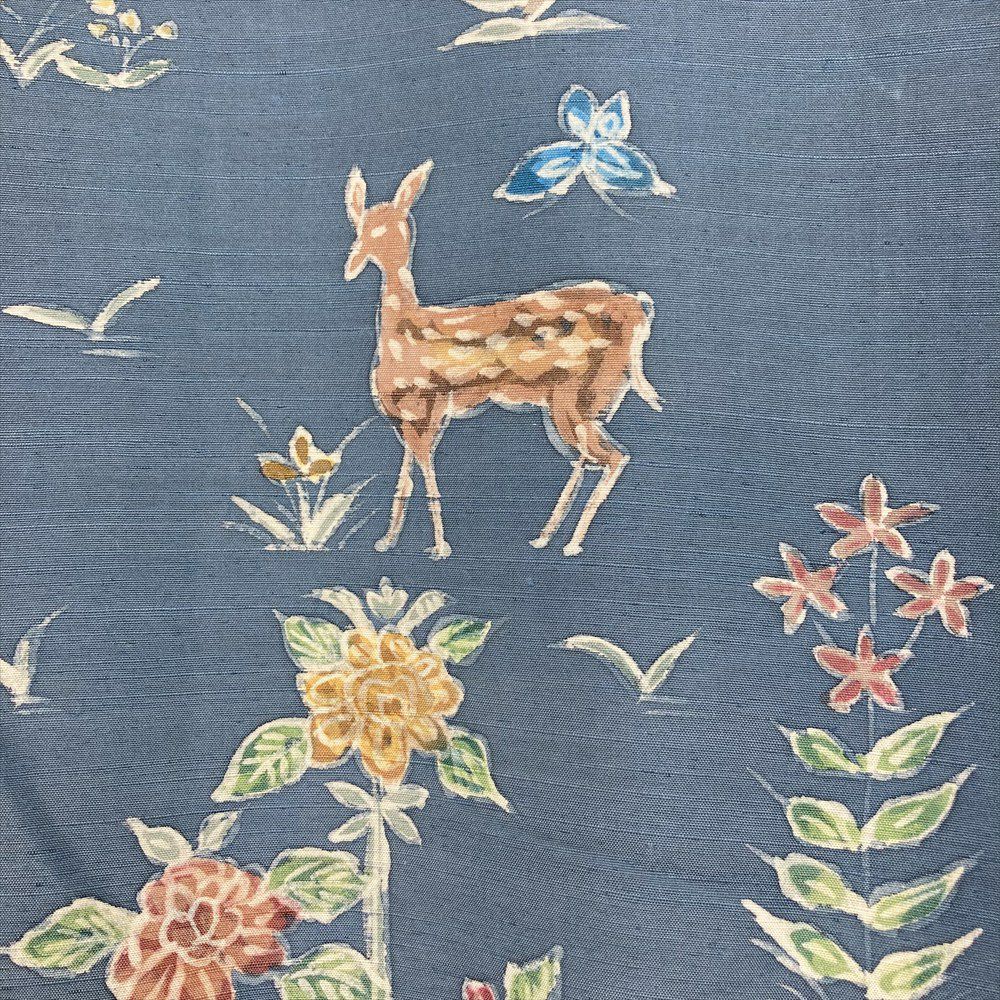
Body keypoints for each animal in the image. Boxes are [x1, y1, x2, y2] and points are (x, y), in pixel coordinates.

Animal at [344, 160, 663, 559]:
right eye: (358, 225)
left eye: (390, 226)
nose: (351, 264)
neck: (399, 333)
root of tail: (637, 309)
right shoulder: (408, 418)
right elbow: (406, 478)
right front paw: (387, 541)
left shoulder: (427, 407)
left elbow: (426, 475)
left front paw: (440, 547)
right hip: (585, 402)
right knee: (589, 458)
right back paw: (544, 537)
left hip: (576, 397)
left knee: (612, 457)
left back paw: (571, 544)